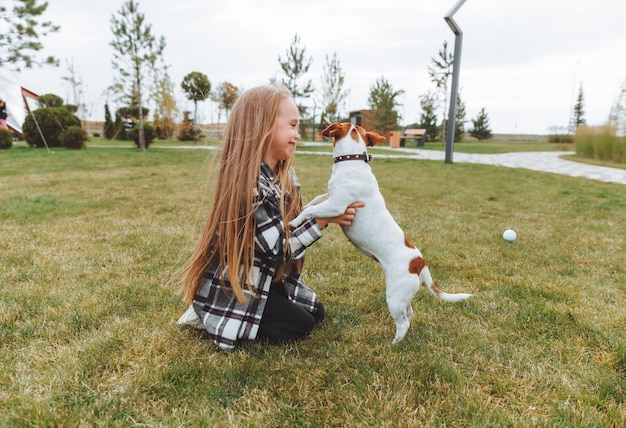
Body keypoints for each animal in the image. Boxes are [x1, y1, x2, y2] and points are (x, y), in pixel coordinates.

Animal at [290, 122, 470, 342]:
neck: (352, 161)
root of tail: (419, 262)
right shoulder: (329, 197)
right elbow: (314, 201)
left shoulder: (337, 206)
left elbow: (310, 211)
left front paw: (294, 221)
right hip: (403, 297)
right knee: (409, 313)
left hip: (395, 296)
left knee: (403, 323)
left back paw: (393, 344)